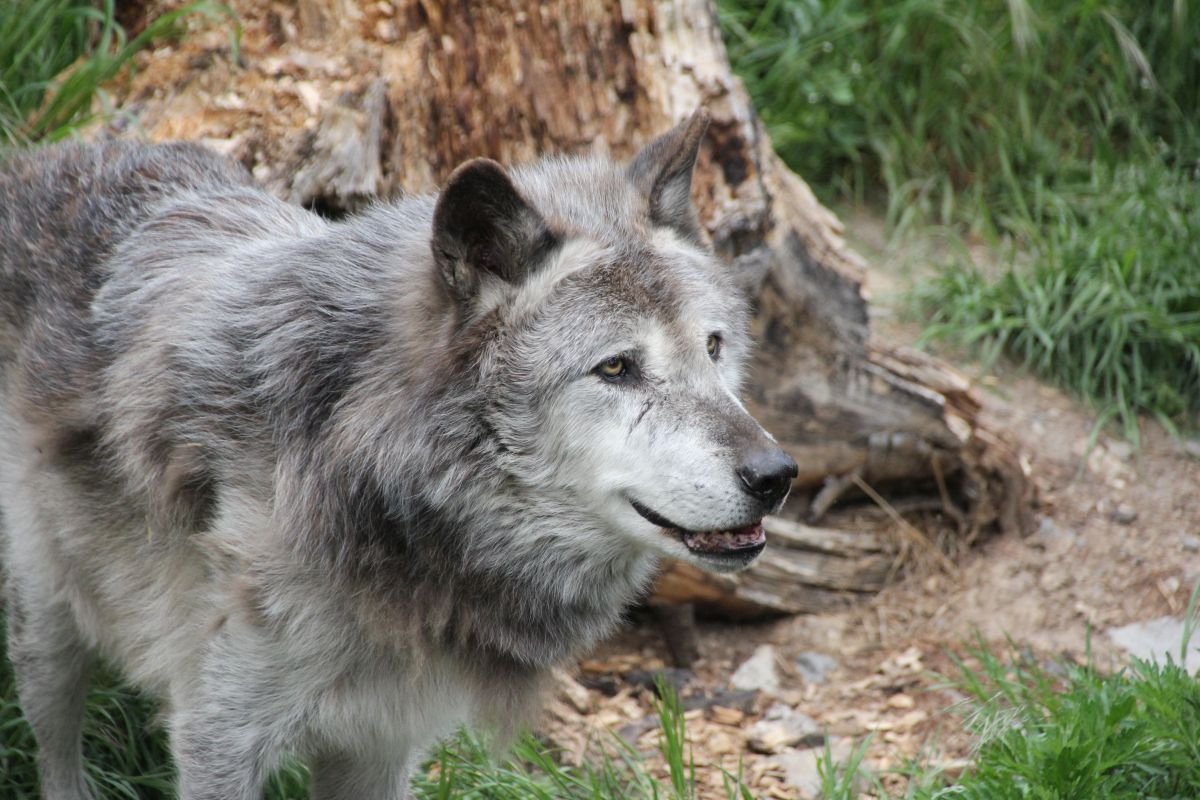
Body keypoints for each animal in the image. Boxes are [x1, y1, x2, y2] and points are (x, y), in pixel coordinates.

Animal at [0, 112, 801, 800]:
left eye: (714, 347)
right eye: (616, 368)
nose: (776, 476)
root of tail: (40, 157)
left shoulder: (381, 743)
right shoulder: (218, 740)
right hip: (45, 625)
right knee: (55, 750)